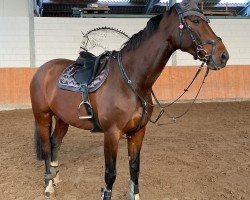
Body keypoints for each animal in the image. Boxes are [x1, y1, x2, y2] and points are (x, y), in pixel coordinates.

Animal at [29, 0, 229, 199]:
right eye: (195, 21)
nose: (223, 56)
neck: (131, 80)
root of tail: (43, 70)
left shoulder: (138, 132)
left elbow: (134, 167)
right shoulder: (112, 133)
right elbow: (110, 173)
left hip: (63, 119)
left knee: (55, 143)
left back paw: (55, 178)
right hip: (43, 117)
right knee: (46, 147)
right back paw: (48, 185)